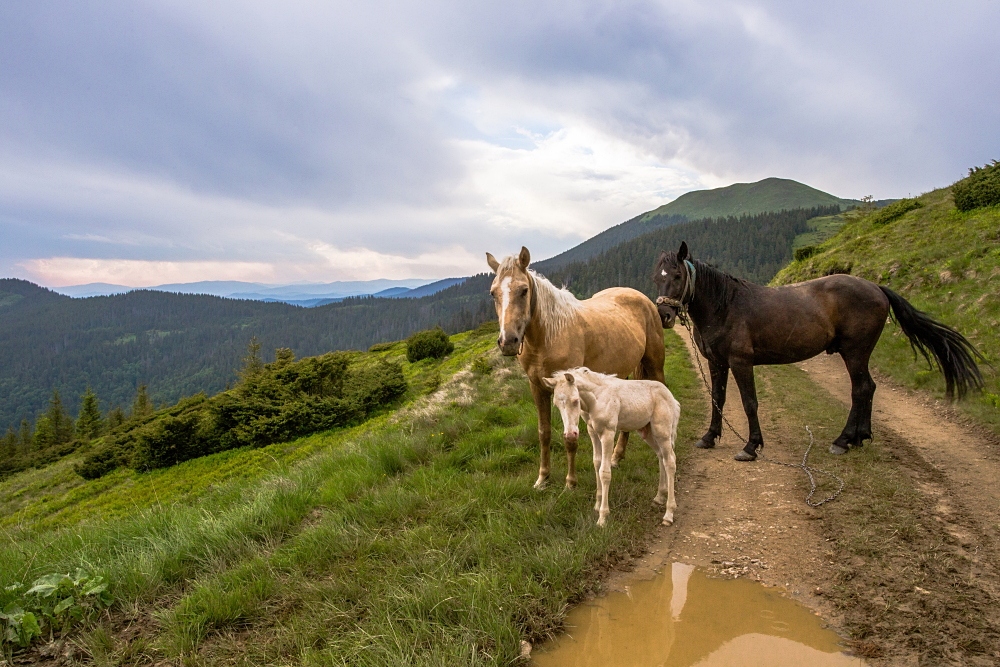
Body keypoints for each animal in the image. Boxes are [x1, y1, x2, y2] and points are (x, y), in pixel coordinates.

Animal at [488, 248, 668, 488]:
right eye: (493, 293)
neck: (550, 335)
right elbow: (544, 433)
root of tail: (642, 298)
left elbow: (570, 438)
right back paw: (616, 457)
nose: (508, 341)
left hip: (655, 365)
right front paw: (543, 478)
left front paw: (570, 482)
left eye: (524, 290)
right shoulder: (537, 388)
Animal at [548, 370, 680, 528]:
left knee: (670, 461)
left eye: (575, 400)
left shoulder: (608, 433)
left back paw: (669, 513)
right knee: (661, 456)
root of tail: (671, 397)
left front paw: (603, 517)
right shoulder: (592, 431)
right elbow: (597, 463)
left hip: (662, 431)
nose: (570, 435)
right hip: (647, 431)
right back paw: (659, 497)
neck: (596, 399)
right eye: (556, 404)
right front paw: (597, 504)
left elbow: (604, 472)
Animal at [652, 243, 980, 462]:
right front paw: (709, 437)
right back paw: (859, 437)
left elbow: (749, 403)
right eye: (658, 277)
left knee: (861, 388)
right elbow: (717, 399)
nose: (664, 316)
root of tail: (877, 288)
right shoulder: (718, 363)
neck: (726, 305)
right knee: (868, 388)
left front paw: (751, 446)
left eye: (678, 276)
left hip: (855, 352)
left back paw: (844, 440)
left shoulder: (741, 362)